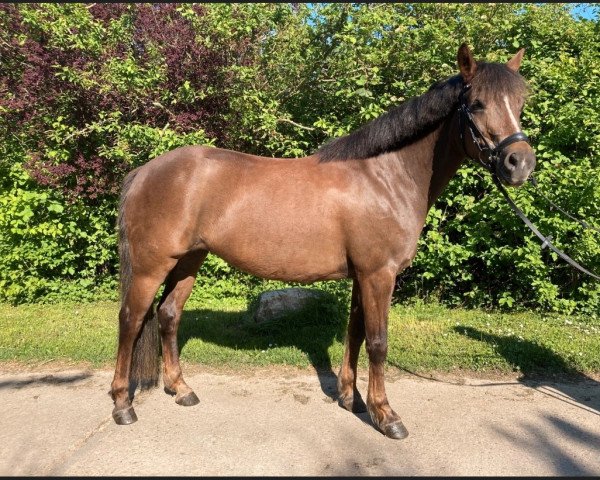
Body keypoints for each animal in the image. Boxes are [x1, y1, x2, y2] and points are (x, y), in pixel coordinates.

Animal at [110, 43, 536, 440]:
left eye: (520, 102)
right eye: (476, 103)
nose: (520, 163)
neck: (385, 177)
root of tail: (144, 172)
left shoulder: (363, 276)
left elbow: (356, 332)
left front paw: (352, 399)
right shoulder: (379, 275)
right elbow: (378, 342)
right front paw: (387, 416)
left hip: (189, 260)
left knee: (168, 315)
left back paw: (181, 389)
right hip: (151, 266)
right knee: (131, 320)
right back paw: (122, 406)